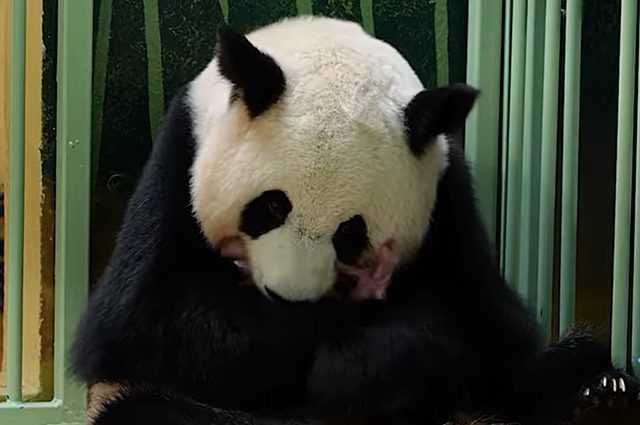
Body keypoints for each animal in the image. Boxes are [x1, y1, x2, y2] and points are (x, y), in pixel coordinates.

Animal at [71, 16, 638, 425]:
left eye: (351, 233)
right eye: (270, 207)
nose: (288, 299)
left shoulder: (448, 201)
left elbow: (483, 332)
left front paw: (353, 359)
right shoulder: (176, 166)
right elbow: (145, 323)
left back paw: (600, 394)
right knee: (141, 411)